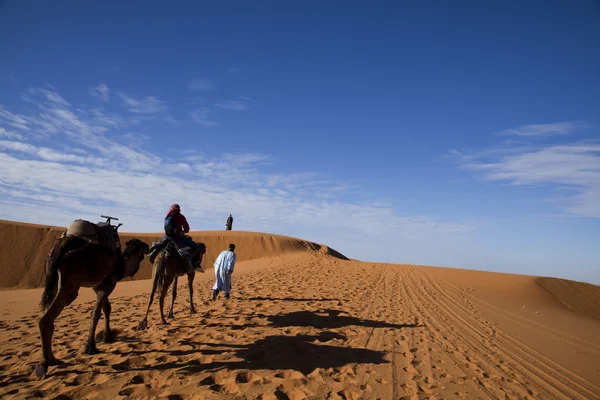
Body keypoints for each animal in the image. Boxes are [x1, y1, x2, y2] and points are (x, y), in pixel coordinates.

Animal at [35, 220, 150, 380]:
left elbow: (106, 308)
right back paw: (47, 362)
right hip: (69, 282)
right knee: (46, 319)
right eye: (139, 246)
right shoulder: (109, 283)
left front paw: (108, 337)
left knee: (48, 314)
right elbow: (96, 312)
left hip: (55, 280)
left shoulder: (99, 285)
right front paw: (91, 347)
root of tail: (62, 244)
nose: (148, 247)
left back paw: (52, 359)